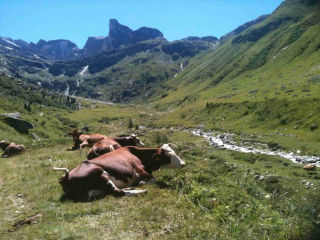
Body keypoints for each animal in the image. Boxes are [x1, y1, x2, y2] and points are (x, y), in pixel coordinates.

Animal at [53, 144, 185, 197]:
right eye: (169, 155)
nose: (183, 163)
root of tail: (64, 178)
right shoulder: (139, 169)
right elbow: (153, 180)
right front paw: (142, 183)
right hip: (101, 173)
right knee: (116, 192)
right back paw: (140, 191)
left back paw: (132, 187)